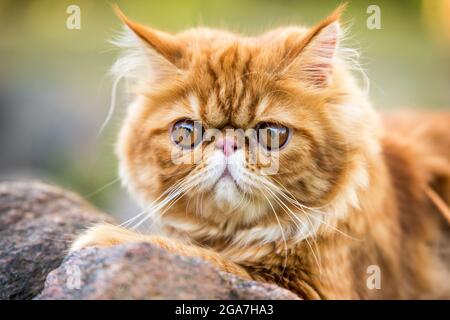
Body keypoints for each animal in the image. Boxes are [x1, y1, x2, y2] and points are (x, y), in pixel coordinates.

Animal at [71, 6, 450, 298]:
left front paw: (105, 238)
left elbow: (208, 259)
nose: (227, 143)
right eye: (186, 133)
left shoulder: (312, 287)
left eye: (271, 134)